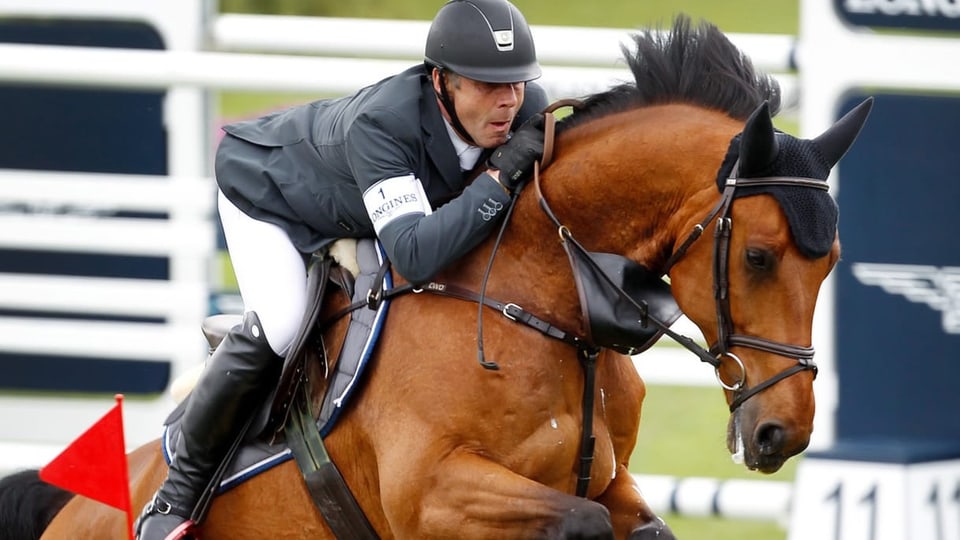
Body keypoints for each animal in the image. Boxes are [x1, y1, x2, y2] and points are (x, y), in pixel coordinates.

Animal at [1, 15, 872, 540]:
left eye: (829, 262)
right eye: (757, 257)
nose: (783, 434)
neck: (545, 302)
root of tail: (76, 504)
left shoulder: (610, 480)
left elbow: (637, 523)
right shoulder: (436, 495)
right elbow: (579, 522)